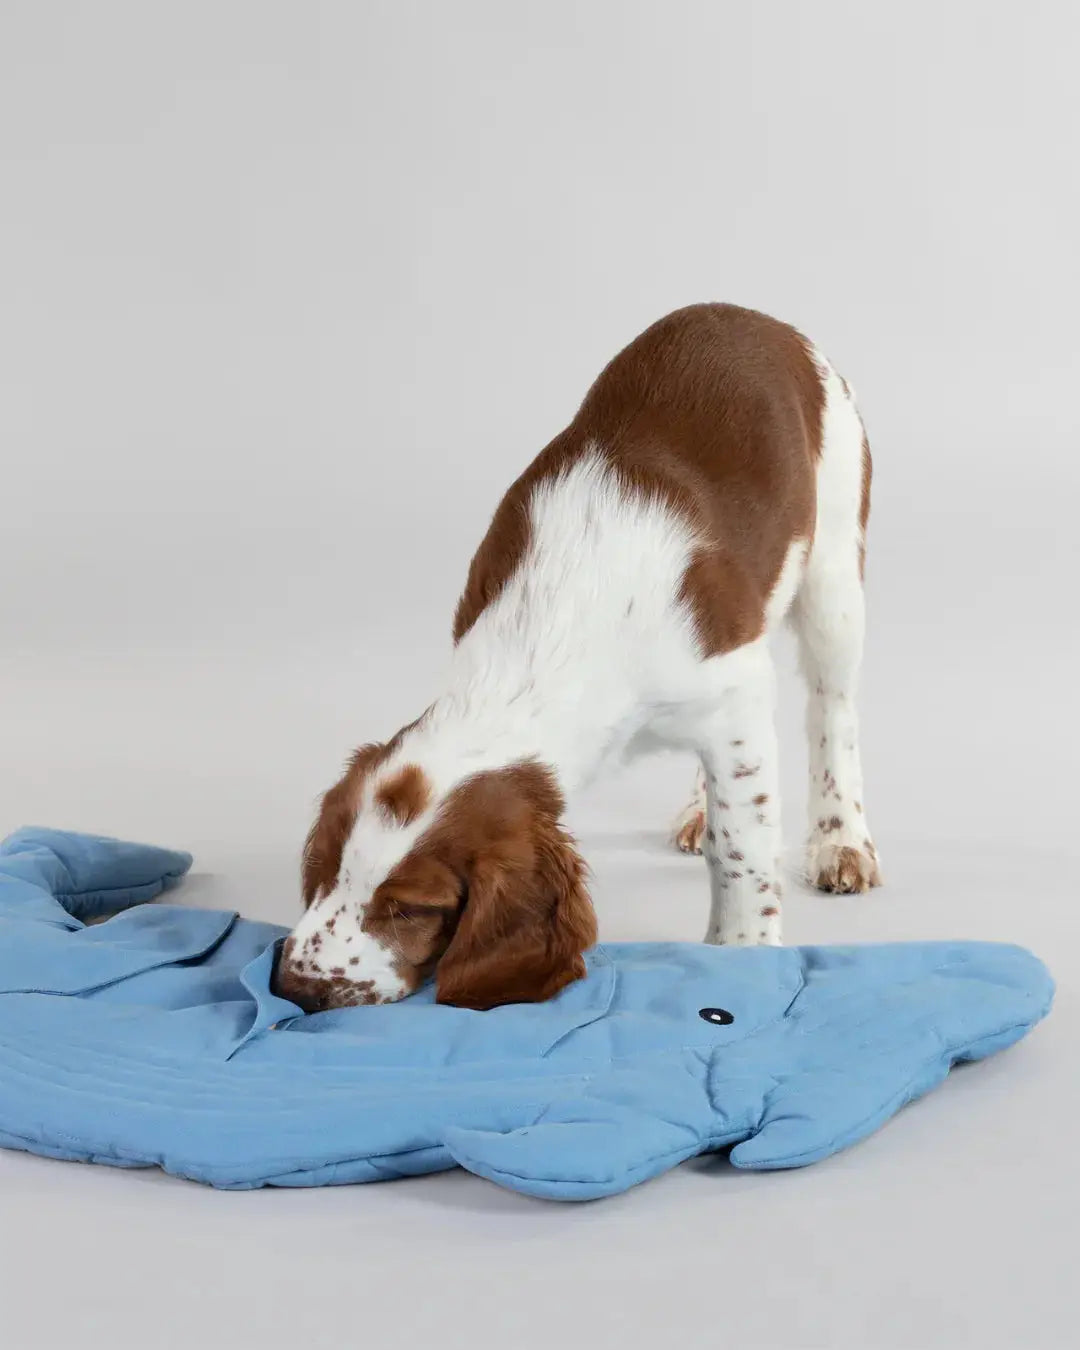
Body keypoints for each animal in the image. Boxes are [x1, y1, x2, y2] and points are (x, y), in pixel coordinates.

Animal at [272, 301, 874, 1009]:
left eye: (412, 909)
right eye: (326, 867)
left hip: (835, 575)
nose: (291, 986)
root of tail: (760, 318)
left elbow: (742, 845)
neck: (554, 626)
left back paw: (842, 841)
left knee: (833, 710)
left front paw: (743, 952)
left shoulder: (737, 692)